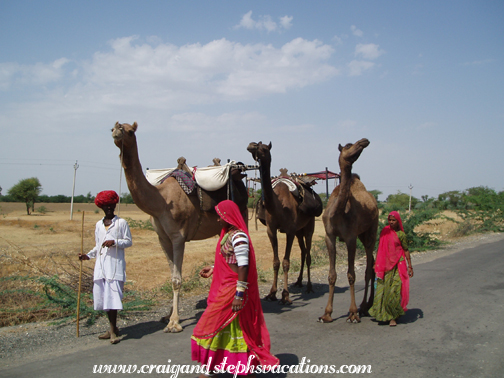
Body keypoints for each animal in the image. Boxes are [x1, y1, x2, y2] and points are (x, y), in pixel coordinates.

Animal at [113, 122, 249, 332]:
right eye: (114, 126)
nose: (116, 132)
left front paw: (174, 322)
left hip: (242, 216)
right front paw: (167, 316)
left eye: (129, 131)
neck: (160, 202)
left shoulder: (178, 237)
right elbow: (172, 276)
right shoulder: (163, 238)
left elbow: (177, 280)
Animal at [246, 142, 320, 304]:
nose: (251, 145)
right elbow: (276, 261)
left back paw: (309, 287)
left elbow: (286, 262)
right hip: (299, 231)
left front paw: (285, 295)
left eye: (264, 148)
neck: (278, 205)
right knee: (303, 252)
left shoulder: (290, 230)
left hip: (308, 226)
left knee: (308, 254)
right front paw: (272, 293)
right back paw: (298, 281)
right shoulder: (271, 230)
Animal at [318, 137, 378, 324]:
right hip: (363, 234)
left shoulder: (351, 237)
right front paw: (326, 314)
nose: (364, 140)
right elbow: (332, 275)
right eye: (348, 146)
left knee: (369, 268)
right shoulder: (329, 236)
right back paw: (367, 304)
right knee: (372, 265)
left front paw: (352, 314)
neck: (338, 213)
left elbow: (351, 274)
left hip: (371, 230)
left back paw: (364, 307)